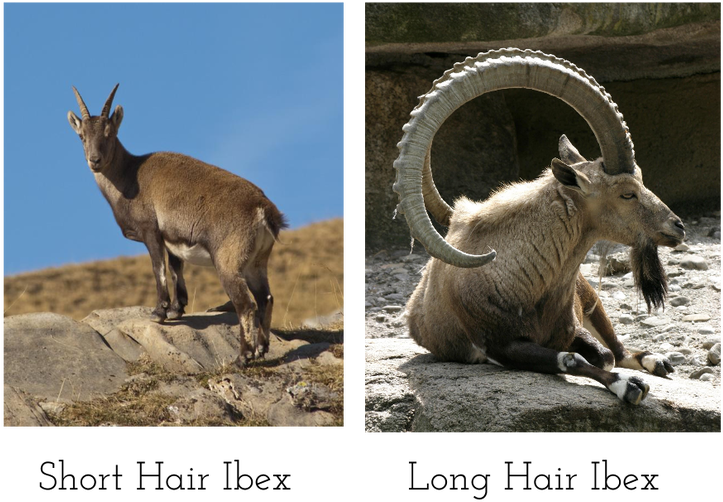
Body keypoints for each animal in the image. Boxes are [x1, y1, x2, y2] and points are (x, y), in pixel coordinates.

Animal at [68, 84, 288, 366]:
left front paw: (159, 312)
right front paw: (176, 309)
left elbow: (158, 268)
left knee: (246, 305)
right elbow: (175, 268)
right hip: (256, 263)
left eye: (110, 132)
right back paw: (261, 348)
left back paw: (243, 357)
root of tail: (263, 210)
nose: (94, 160)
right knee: (266, 299)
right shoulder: (172, 239)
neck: (129, 177)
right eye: (81, 136)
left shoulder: (151, 231)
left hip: (228, 262)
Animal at [393, 49, 684, 404]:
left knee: (619, 347)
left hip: (591, 297)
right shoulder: (499, 346)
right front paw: (628, 386)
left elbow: (603, 354)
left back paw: (659, 361)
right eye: (627, 193)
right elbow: (574, 358)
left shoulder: (572, 327)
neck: (524, 279)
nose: (678, 226)